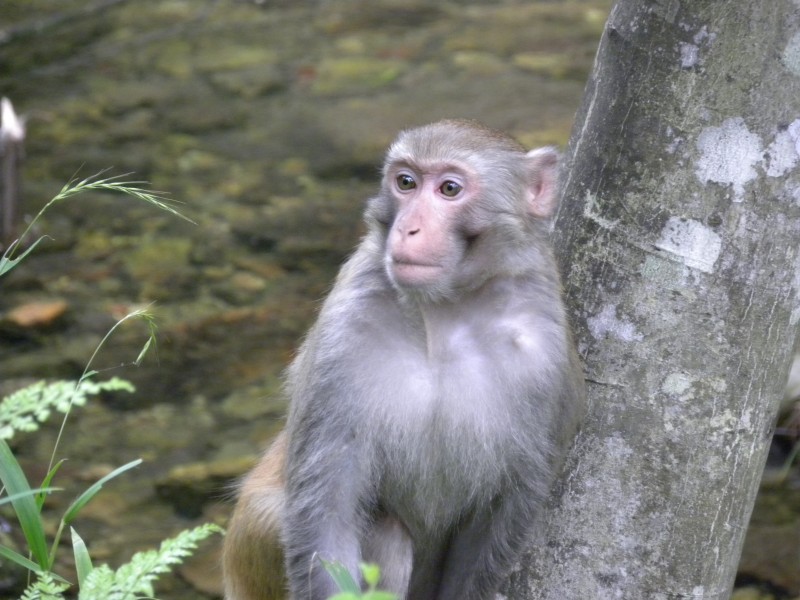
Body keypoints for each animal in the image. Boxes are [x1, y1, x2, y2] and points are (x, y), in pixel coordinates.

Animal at [222, 119, 584, 600]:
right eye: (406, 182)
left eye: (449, 189)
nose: (408, 228)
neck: (444, 314)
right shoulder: (344, 331)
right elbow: (327, 510)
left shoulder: (547, 357)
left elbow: (502, 515)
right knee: (385, 533)